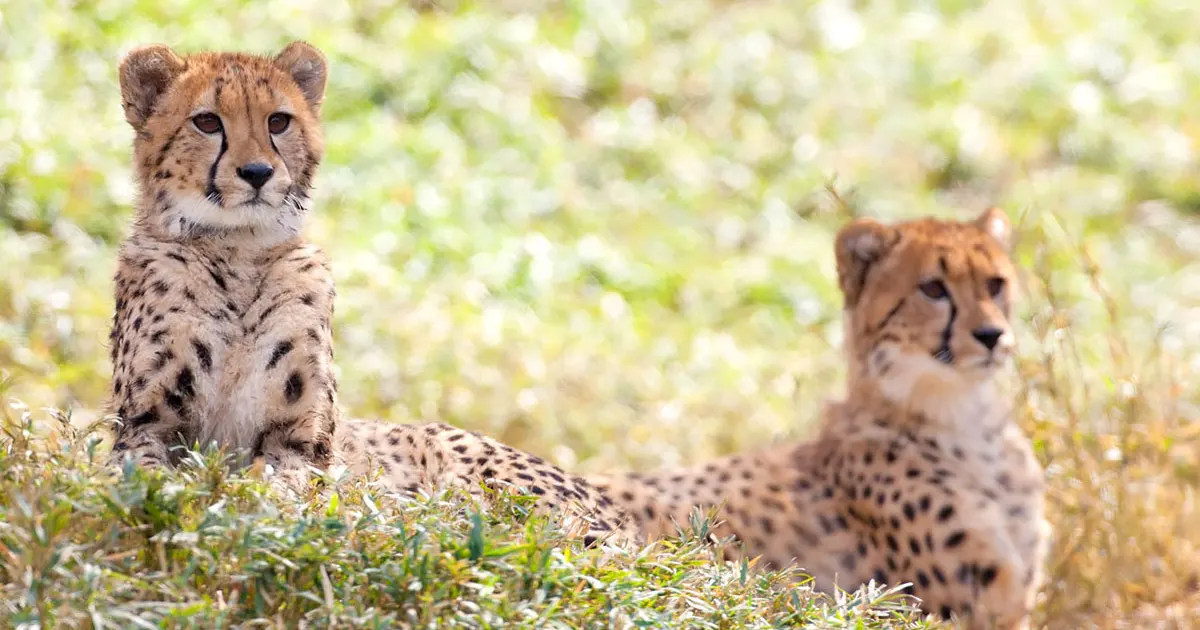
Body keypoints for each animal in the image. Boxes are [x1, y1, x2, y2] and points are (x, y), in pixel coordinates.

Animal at [105, 39, 638, 540]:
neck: (238, 251)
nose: (257, 173)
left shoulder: (302, 443)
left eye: (278, 121)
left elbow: (278, 486)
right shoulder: (144, 429)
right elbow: (148, 477)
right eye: (207, 122)